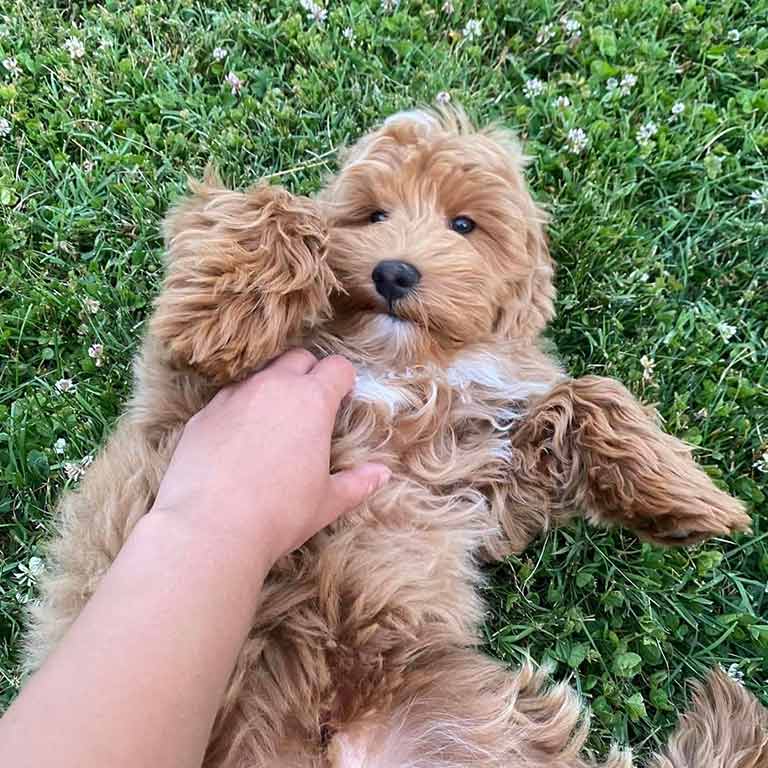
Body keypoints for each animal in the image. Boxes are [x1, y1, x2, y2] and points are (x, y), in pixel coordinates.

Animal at [24, 108, 760, 768]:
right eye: (374, 215)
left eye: (463, 225)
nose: (394, 272)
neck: (401, 361)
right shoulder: (182, 397)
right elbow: (266, 213)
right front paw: (234, 311)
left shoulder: (491, 486)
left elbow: (585, 400)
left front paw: (684, 495)